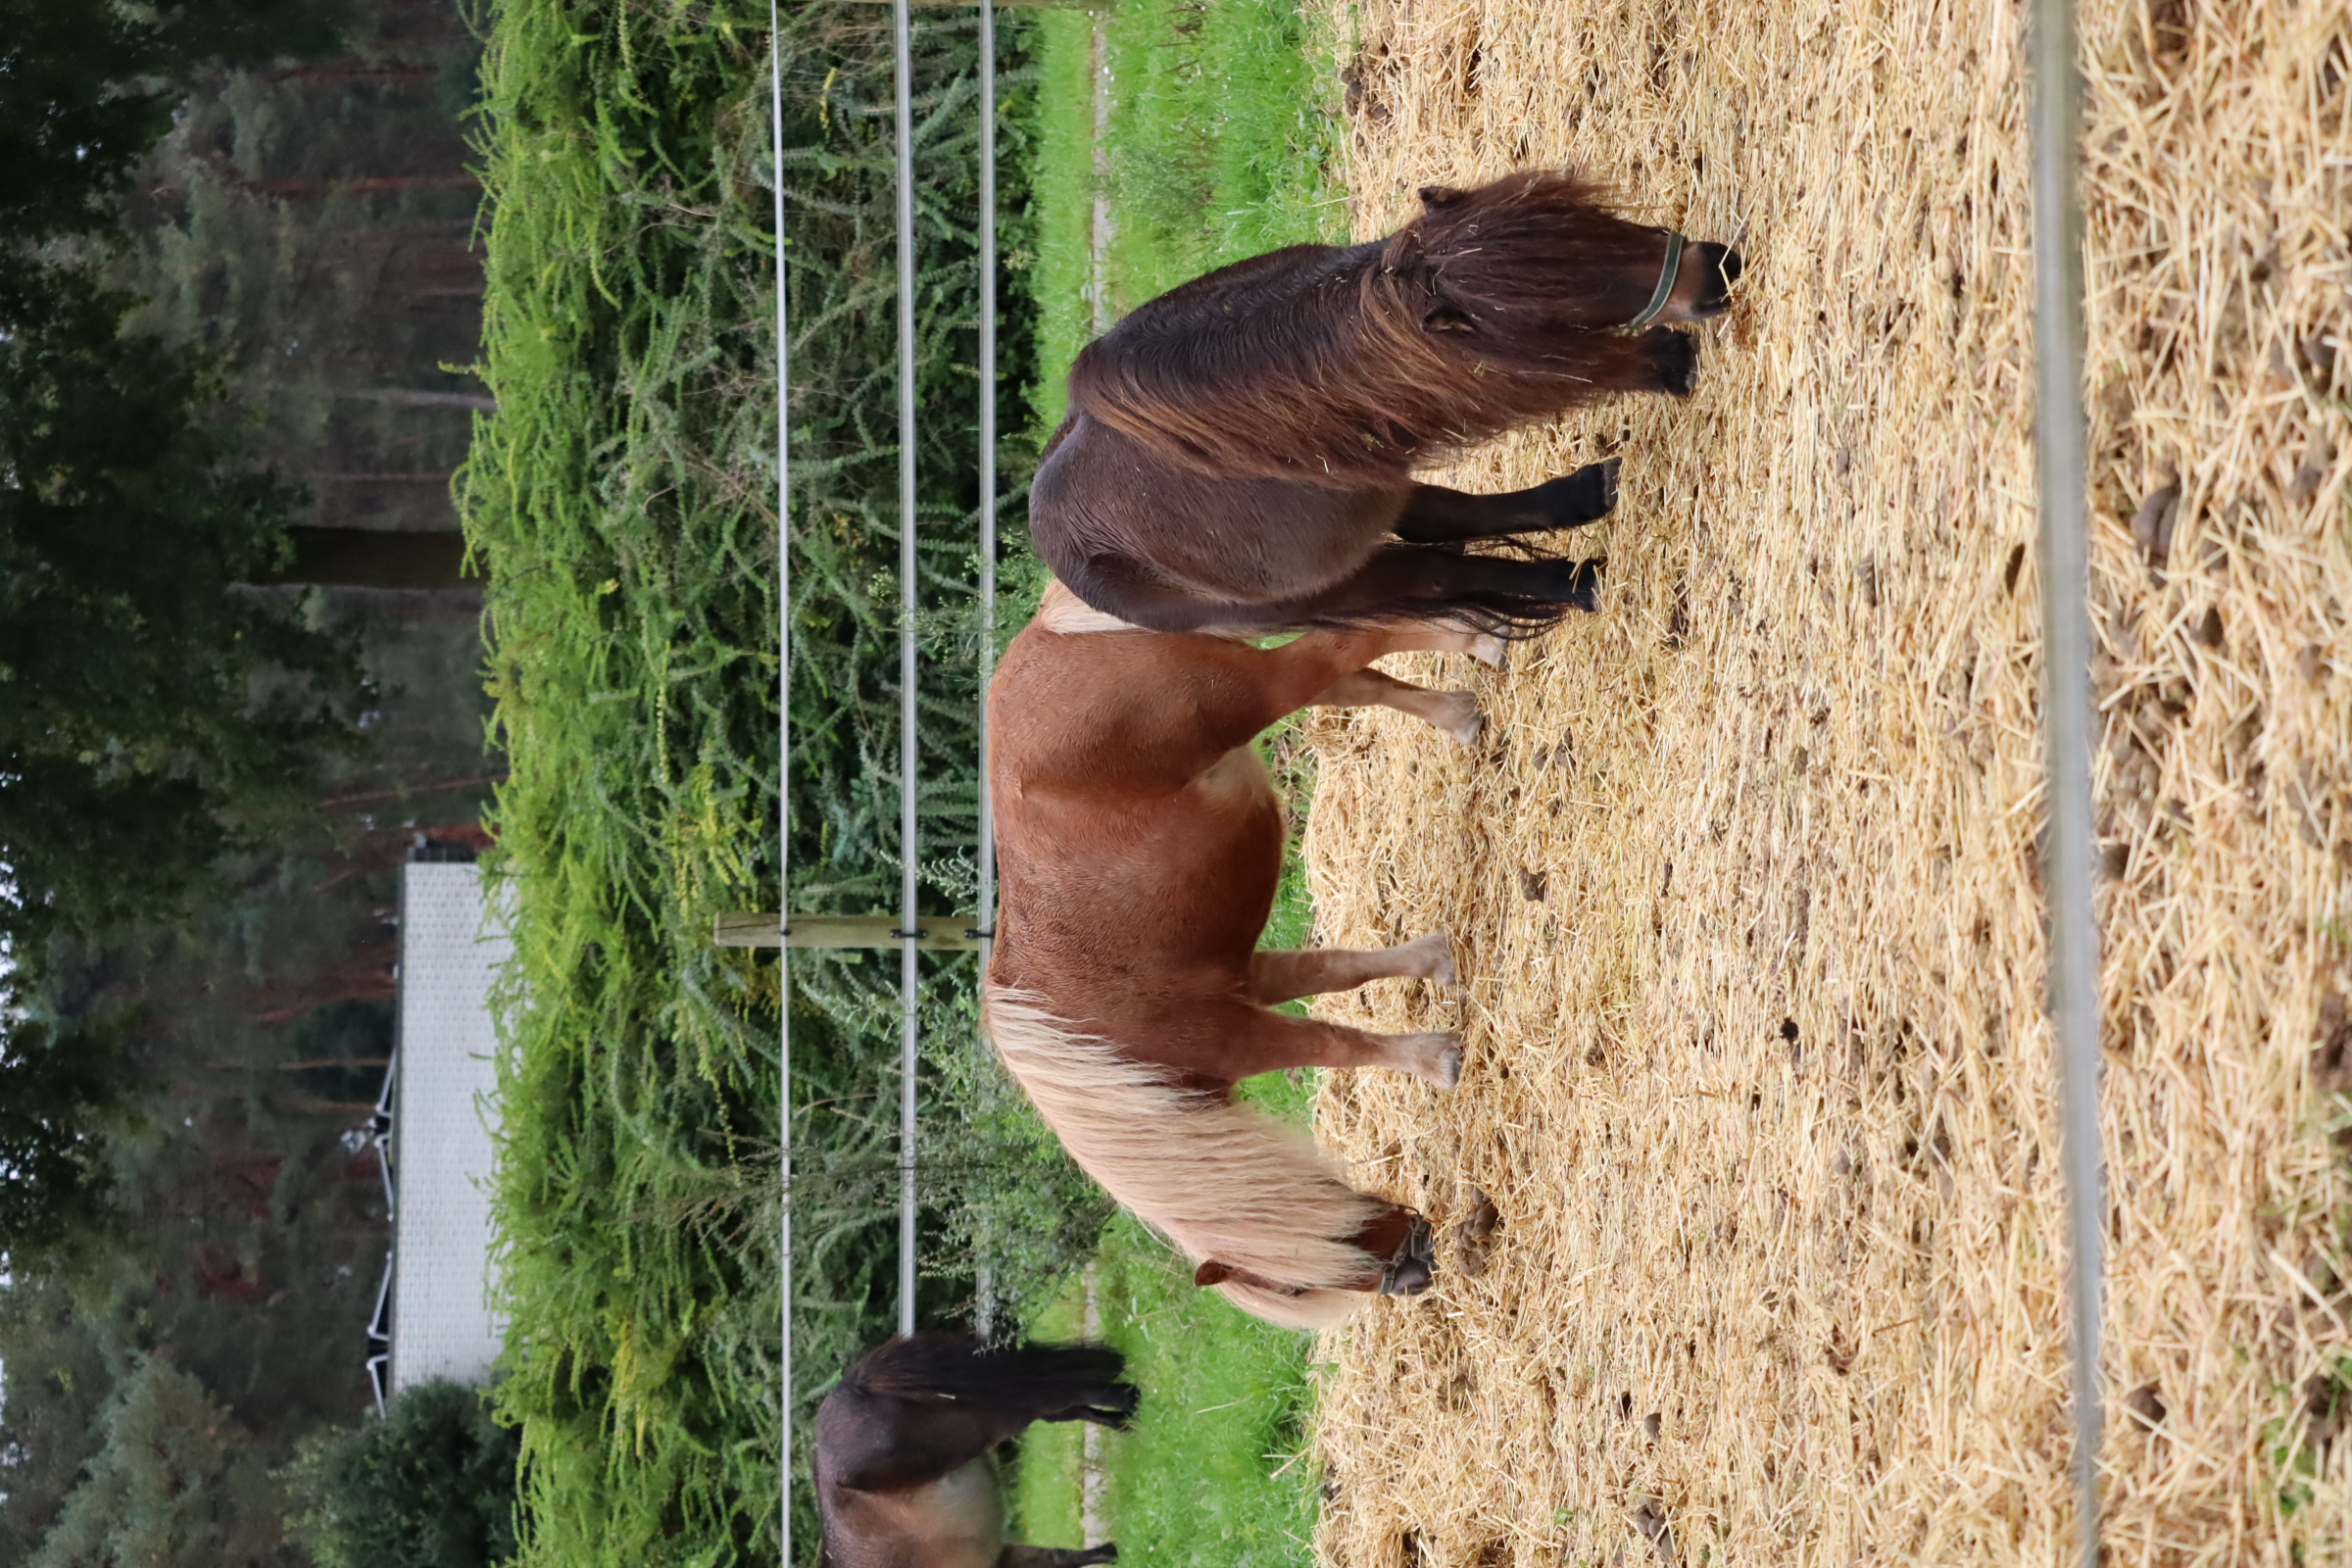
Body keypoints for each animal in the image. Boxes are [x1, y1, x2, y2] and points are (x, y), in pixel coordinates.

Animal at [816, 1333, 1137, 1568]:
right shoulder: (1003, 1559)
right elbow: (1061, 1557)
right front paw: (1115, 1551)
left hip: (986, 1423)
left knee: (1061, 1396)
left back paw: (1129, 1398)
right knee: (1065, 1404)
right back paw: (1125, 1419)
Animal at [981, 582, 1506, 1328]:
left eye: (1290, 1288)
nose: (1414, 1274)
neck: (1113, 1066)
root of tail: (1055, 630)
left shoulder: (1238, 1036)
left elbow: (1336, 1044)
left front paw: (1437, 1061)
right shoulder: (1246, 978)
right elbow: (1338, 972)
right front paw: (1435, 963)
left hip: (1254, 690)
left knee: (1348, 646)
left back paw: (1482, 641)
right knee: (1354, 677)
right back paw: (1460, 714)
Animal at [1031, 169, 1742, 635]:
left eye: (1601, 224)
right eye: (1557, 306)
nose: (1720, 269)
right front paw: (1667, 364)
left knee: (1437, 518)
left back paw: (1588, 496)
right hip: (1324, 587)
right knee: (1437, 570)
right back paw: (1576, 581)